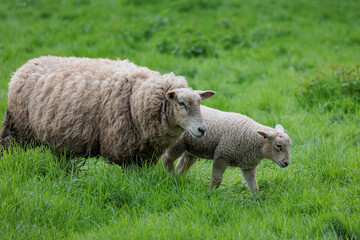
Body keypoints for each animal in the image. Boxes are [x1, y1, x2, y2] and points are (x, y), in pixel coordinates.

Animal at [0, 55, 214, 167]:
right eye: (181, 103)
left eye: (199, 103)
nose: (202, 130)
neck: (137, 98)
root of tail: (24, 66)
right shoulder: (124, 151)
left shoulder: (145, 154)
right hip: (16, 128)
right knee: (7, 148)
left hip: (59, 135)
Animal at [162, 106, 292, 194]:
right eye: (278, 145)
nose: (286, 163)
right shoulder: (221, 158)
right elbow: (217, 181)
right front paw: (210, 193)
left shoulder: (248, 166)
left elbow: (254, 185)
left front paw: (257, 200)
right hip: (177, 144)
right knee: (167, 159)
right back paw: (170, 176)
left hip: (191, 148)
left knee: (182, 164)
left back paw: (178, 179)